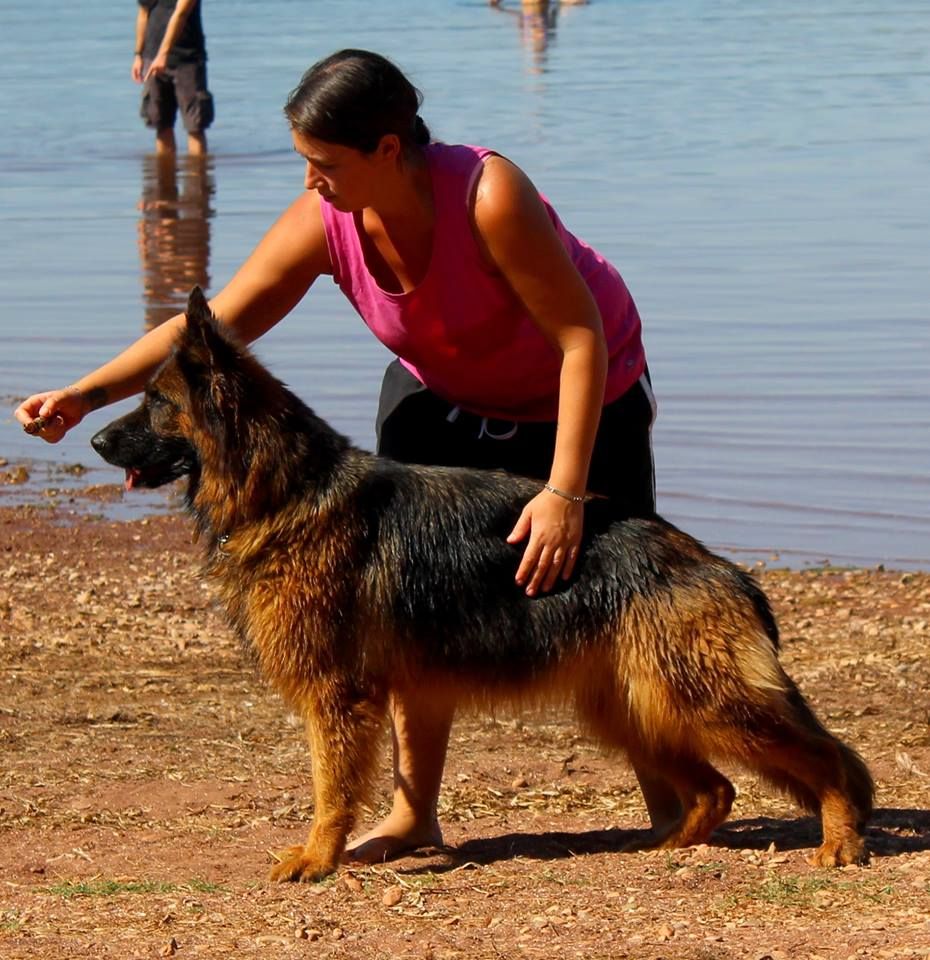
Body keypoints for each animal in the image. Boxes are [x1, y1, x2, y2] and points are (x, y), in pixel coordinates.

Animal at [92, 288, 872, 880]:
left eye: (156, 402)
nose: (95, 440)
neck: (285, 489)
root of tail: (721, 568)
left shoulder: (336, 695)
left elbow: (329, 787)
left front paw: (317, 859)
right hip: (636, 710)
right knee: (717, 789)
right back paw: (666, 844)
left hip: (702, 702)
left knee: (827, 759)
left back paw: (839, 839)